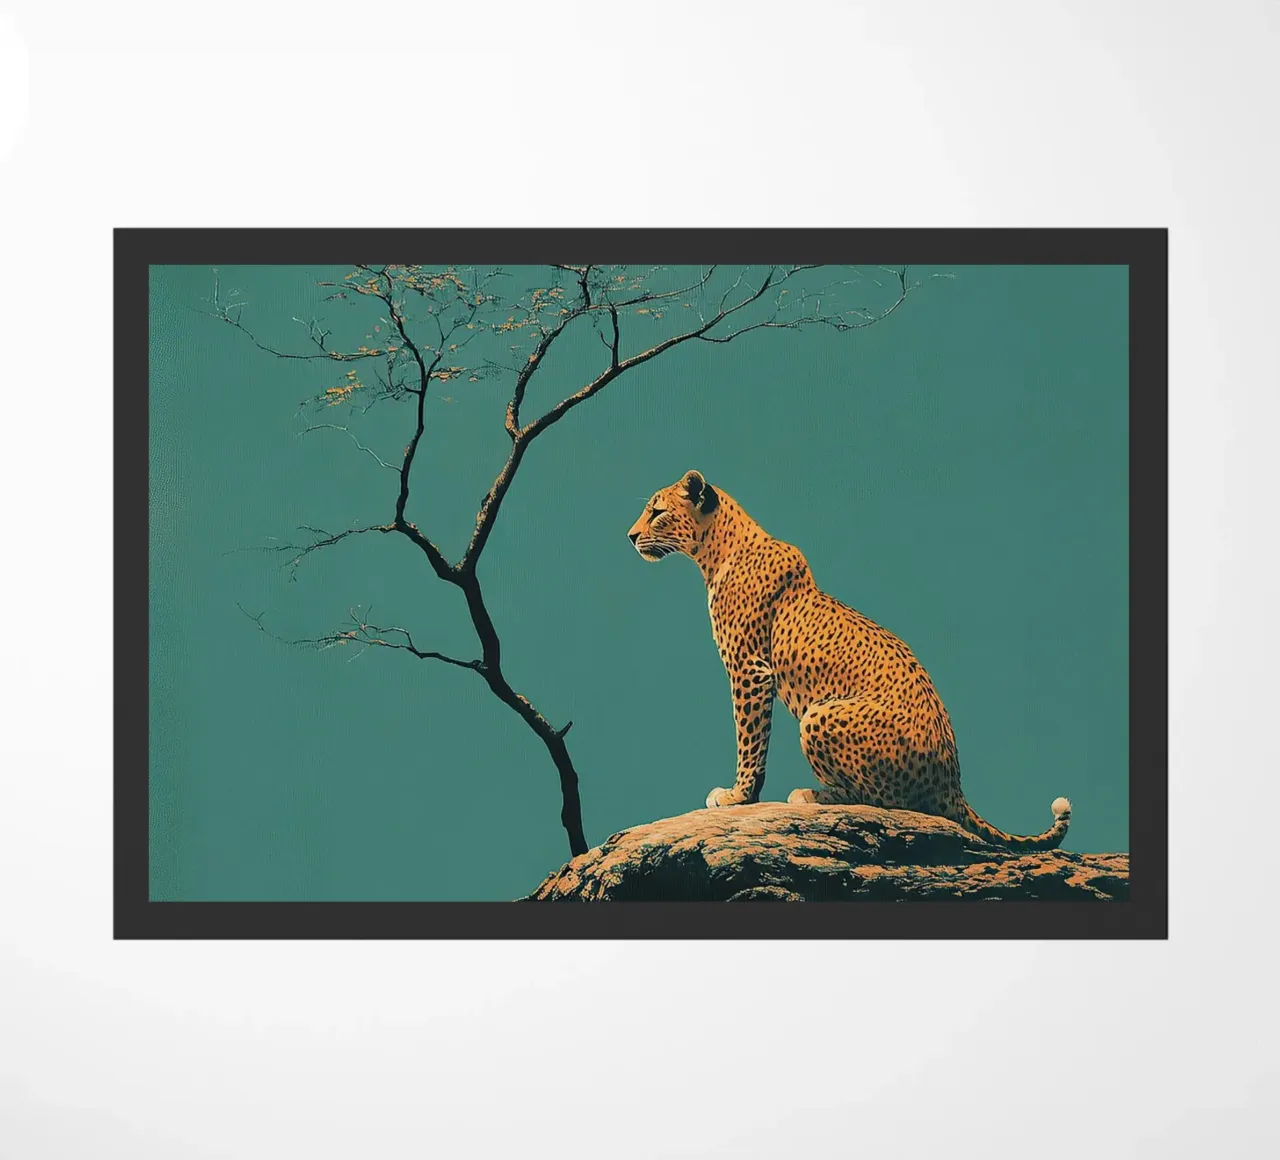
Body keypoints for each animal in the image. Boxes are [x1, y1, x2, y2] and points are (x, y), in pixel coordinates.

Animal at [627, 470, 1072, 851]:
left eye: (657, 511)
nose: (631, 536)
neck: (715, 550)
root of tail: (953, 786)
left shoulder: (750, 669)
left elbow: (750, 739)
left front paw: (739, 796)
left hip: (820, 715)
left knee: (884, 803)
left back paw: (811, 795)